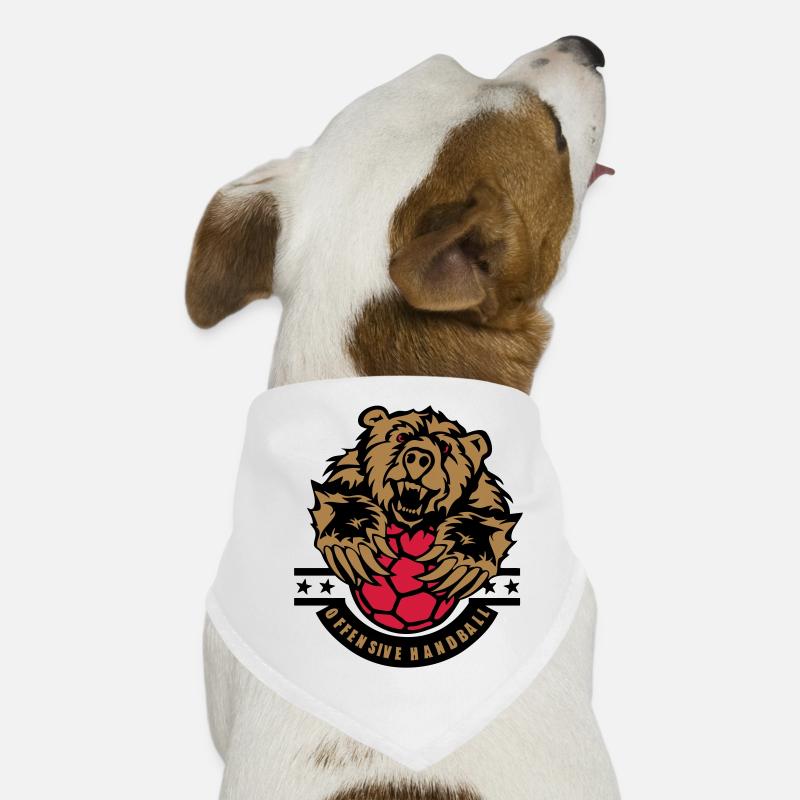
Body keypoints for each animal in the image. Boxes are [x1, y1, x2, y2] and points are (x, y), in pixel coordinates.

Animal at [309, 406, 520, 621]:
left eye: (446, 447)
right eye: (401, 436)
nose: (419, 457)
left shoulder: (483, 495)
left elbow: (488, 520)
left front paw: (463, 558)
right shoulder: (348, 475)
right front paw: (352, 540)